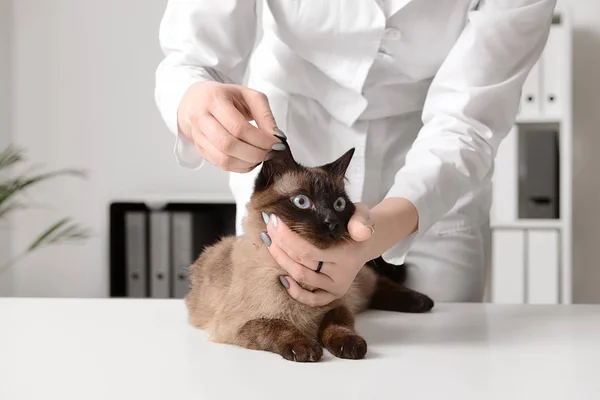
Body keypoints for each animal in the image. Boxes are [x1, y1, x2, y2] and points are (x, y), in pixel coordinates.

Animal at [185, 138, 434, 362]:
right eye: (302, 202)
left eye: (339, 204)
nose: (332, 222)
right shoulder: (237, 325)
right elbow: (277, 326)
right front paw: (305, 348)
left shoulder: (338, 304)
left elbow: (338, 324)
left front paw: (349, 346)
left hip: (356, 287)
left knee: (375, 284)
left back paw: (423, 302)